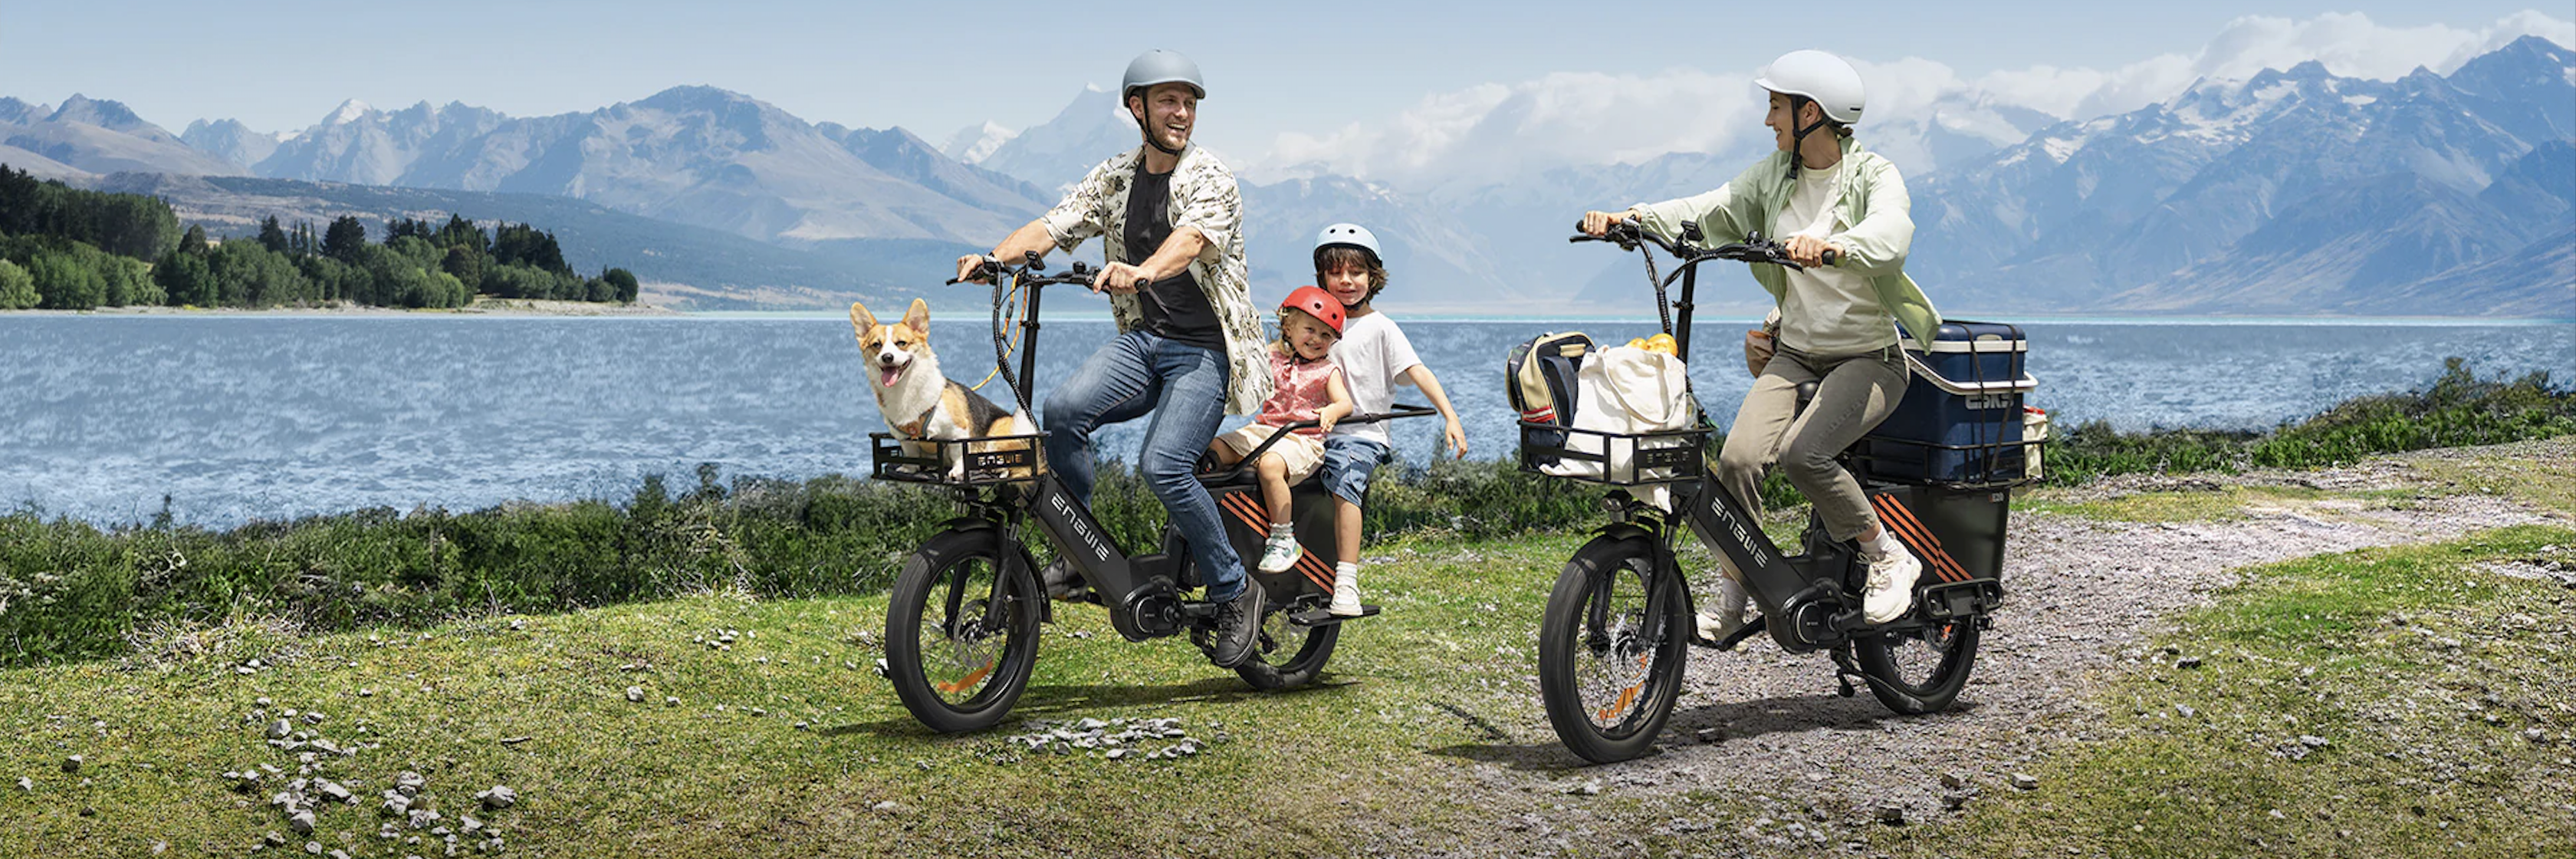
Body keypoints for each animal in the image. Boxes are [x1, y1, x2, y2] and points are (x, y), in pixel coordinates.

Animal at [855, 298, 1035, 477]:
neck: (904, 389)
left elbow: (959, 454)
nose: (887, 357)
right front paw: (909, 468)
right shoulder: (905, 439)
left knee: (1007, 462)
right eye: (876, 345)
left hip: (998, 435)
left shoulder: (958, 432)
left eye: (901, 343)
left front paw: (958, 471)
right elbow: (910, 453)